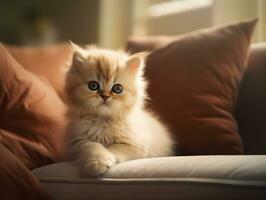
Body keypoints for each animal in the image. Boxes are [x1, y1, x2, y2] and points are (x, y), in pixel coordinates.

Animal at [65, 43, 175, 177]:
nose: (105, 96)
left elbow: (114, 148)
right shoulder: (78, 142)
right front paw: (97, 162)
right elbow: (92, 146)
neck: (104, 121)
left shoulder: (135, 145)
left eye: (117, 89)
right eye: (93, 86)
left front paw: (105, 159)